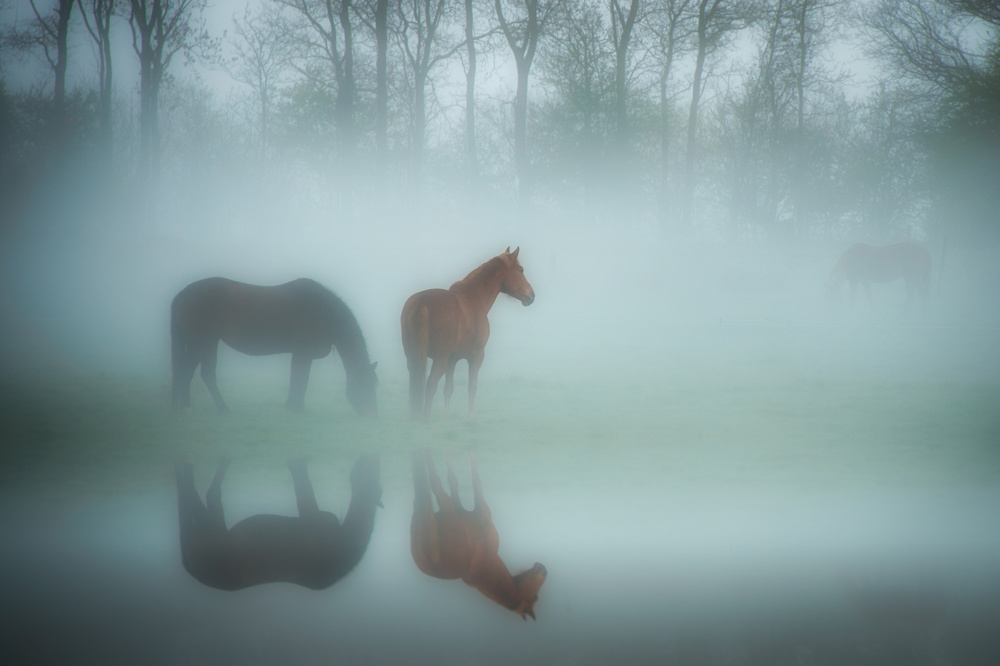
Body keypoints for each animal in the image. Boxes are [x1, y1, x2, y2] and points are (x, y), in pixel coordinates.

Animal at [170, 274, 376, 410]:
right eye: (369, 384)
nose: (372, 413)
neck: (325, 312)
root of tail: (184, 293)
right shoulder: (303, 354)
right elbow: (299, 380)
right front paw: (296, 408)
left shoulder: (301, 354)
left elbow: (298, 379)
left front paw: (292, 406)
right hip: (200, 343)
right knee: (186, 371)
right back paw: (187, 407)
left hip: (209, 343)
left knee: (204, 373)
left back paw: (218, 407)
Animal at [174, 454, 380, 588]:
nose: (370, 459)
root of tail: (191, 570)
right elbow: (303, 487)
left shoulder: (314, 520)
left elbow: (303, 490)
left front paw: (296, 464)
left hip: (211, 527)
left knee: (207, 495)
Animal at [402, 246, 536, 418]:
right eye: (521, 269)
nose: (531, 295)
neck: (473, 299)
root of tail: (422, 302)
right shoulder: (476, 356)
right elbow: (472, 388)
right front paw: (470, 418)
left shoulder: (452, 360)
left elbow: (448, 389)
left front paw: (445, 417)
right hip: (439, 358)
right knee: (431, 384)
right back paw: (425, 418)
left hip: (414, 356)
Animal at [408, 448, 548, 620]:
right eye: (536, 597)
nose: (543, 568)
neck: (486, 564)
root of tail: (430, 560)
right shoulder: (467, 509)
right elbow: (465, 481)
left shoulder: (465, 509)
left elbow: (463, 480)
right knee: (429, 485)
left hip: (440, 512)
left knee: (430, 485)